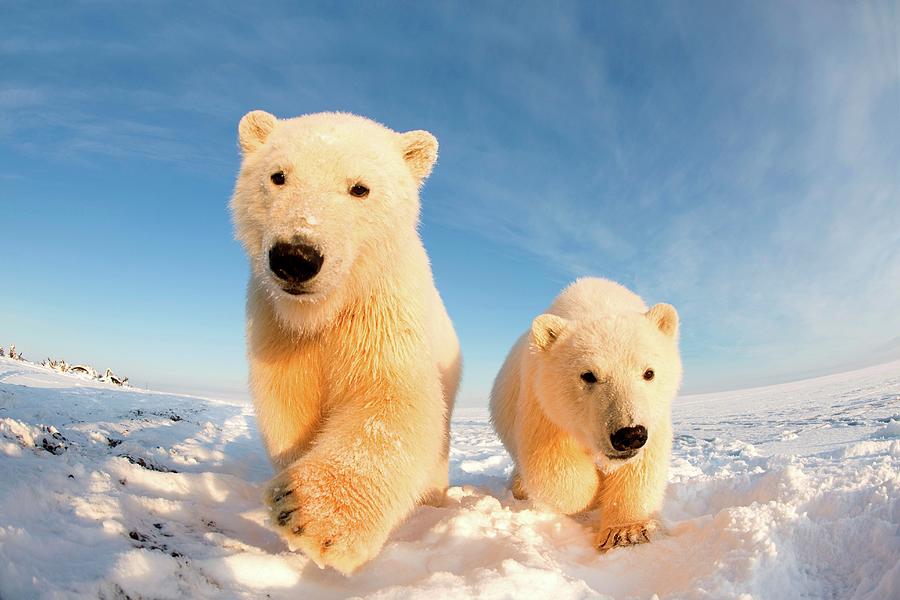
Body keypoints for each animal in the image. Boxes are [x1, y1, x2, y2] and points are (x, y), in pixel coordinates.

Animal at [229, 110, 460, 576]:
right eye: (278, 176)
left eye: (360, 188)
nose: (296, 257)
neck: (323, 312)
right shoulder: (277, 325)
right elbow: (290, 403)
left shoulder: (381, 310)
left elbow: (391, 400)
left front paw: (308, 511)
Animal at [492, 278, 684, 552]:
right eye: (588, 375)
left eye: (649, 372)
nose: (629, 434)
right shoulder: (543, 402)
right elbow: (552, 464)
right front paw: (594, 495)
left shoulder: (653, 414)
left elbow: (643, 465)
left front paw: (626, 531)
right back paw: (519, 487)